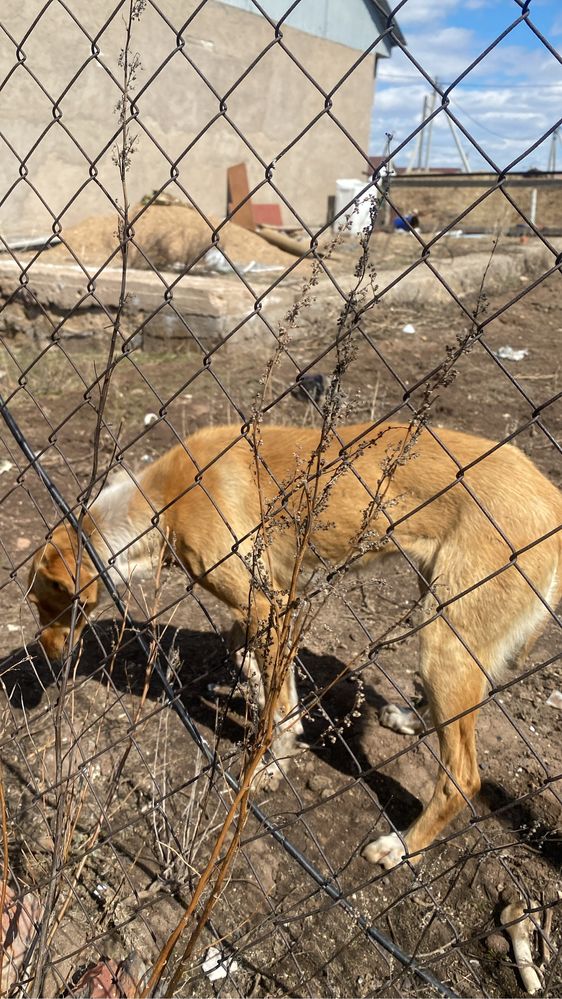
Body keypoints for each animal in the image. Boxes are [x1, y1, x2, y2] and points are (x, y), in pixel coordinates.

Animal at [27, 426, 560, 872]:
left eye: (44, 605)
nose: (44, 655)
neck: (162, 502)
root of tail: (551, 496)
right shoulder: (265, 604)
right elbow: (247, 660)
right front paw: (252, 692)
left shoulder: (269, 605)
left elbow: (283, 709)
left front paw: (273, 761)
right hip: (441, 617)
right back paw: (409, 718)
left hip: (445, 637)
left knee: (462, 778)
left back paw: (403, 847)